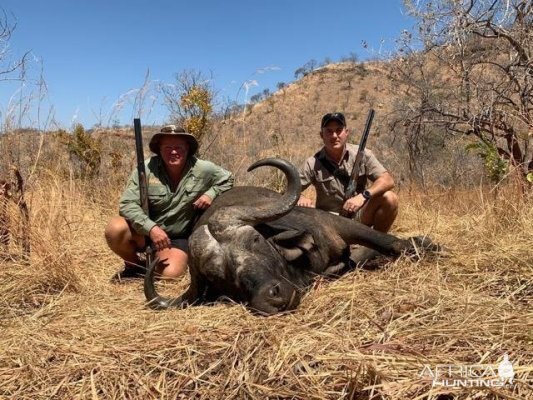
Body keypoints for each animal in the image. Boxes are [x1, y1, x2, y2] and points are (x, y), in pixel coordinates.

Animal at [143, 158, 438, 314]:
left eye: (255, 240)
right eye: (218, 276)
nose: (272, 295)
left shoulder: (336, 223)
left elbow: (387, 241)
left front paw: (424, 246)